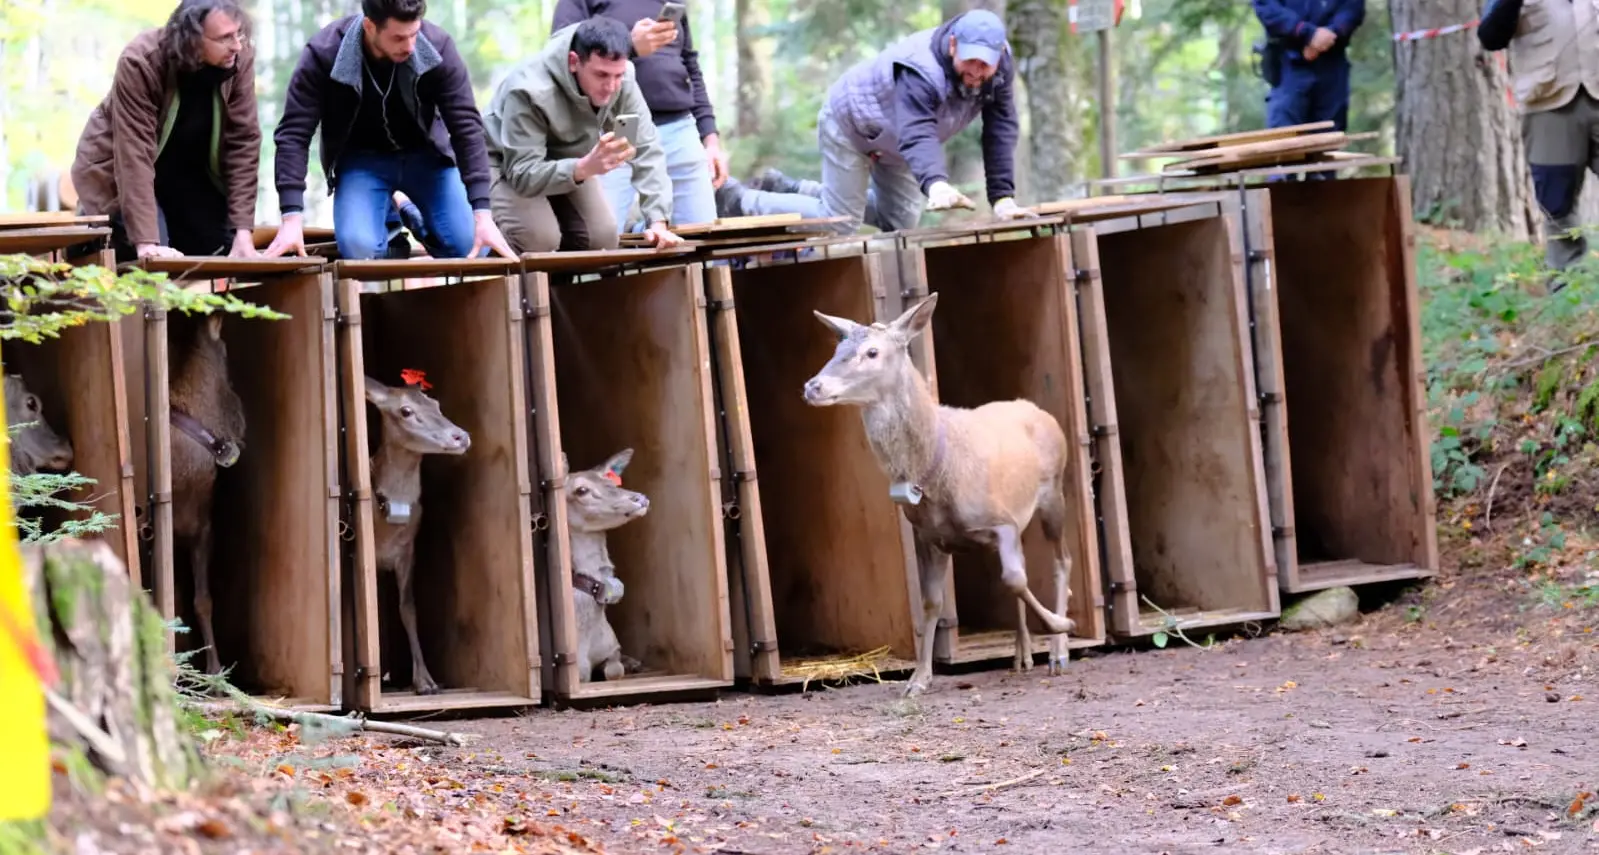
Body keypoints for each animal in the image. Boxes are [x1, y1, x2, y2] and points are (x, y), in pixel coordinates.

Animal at [364, 373, 471, 695]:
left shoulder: (408, 550)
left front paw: (426, 682)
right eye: (406, 411)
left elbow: (408, 608)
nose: (460, 436)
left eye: (435, 403)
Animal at [563, 447, 650, 682]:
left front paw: (625, 665)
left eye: (612, 482)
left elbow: (615, 670)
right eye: (581, 490)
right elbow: (585, 675)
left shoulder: (612, 647)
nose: (640, 498)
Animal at [802, 292, 1075, 698]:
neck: (937, 474)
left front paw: (1062, 625)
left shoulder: (1000, 521)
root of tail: (1042, 413)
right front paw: (918, 679)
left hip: (1054, 490)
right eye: (837, 348)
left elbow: (1014, 579)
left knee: (1062, 559)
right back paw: (1022, 656)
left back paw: (1058, 652)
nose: (813, 386)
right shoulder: (930, 536)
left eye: (871, 352)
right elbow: (932, 601)